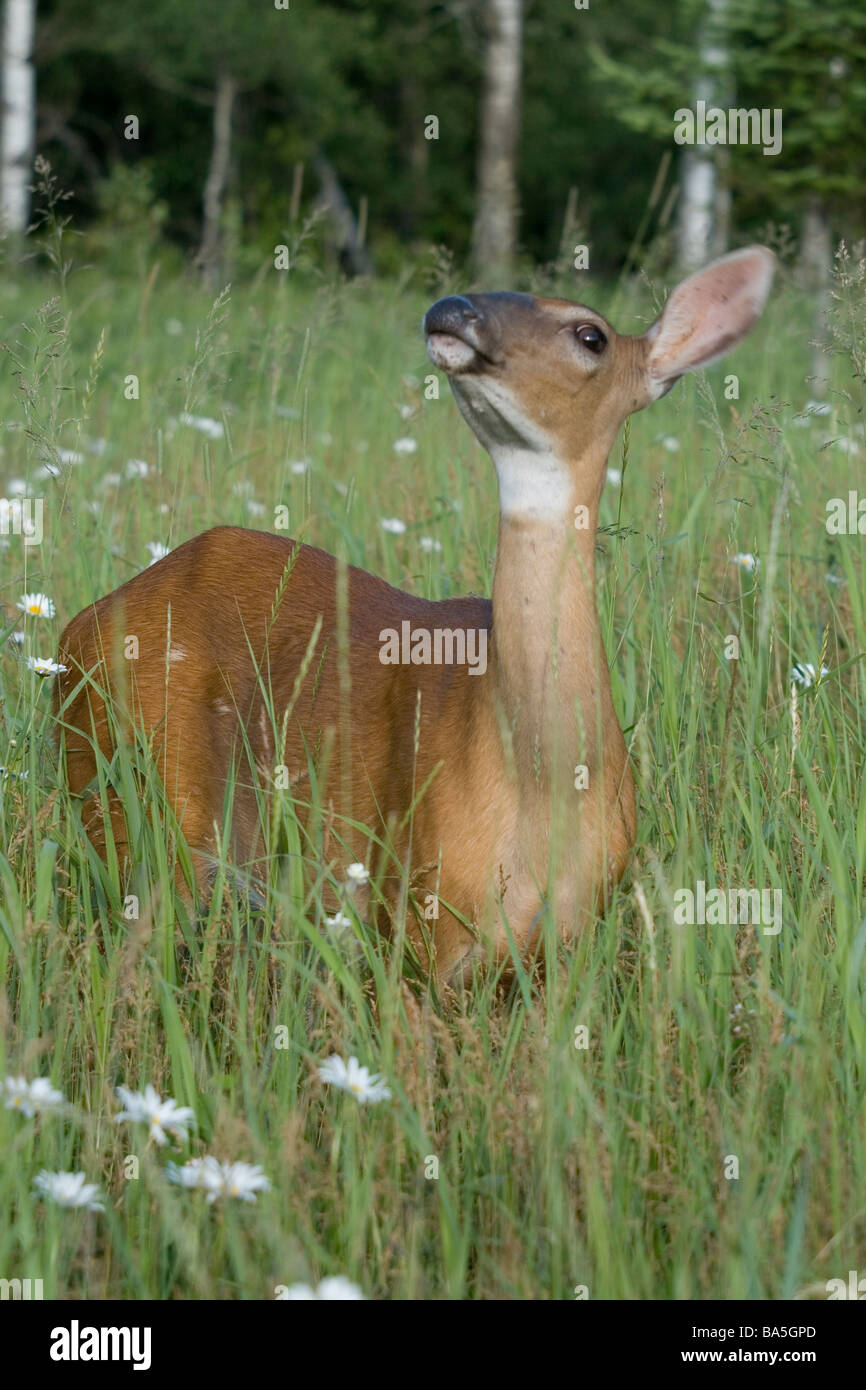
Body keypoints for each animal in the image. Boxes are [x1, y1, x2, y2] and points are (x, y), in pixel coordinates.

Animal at [55, 250, 772, 989]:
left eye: (591, 334)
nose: (452, 308)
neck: (546, 786)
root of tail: (73, 628)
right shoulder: (415, 923)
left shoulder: (567, 948)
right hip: (119, 799)